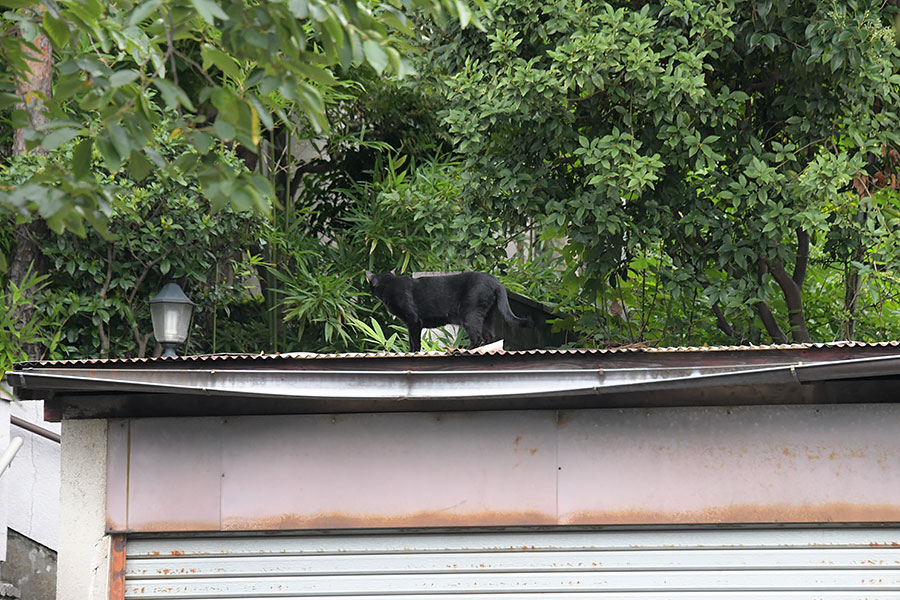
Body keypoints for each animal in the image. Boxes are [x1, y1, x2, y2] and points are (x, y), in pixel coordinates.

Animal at [366, 268, 536, 350]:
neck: (390, 284)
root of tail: (495, 281)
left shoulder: (413, 321)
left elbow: (415, 341)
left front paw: (414, 352)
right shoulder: (409, 324)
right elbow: (411, 340)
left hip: (470, 315)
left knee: (477, 337)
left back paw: (464, 350)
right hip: (488, 316)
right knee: (488, 336)